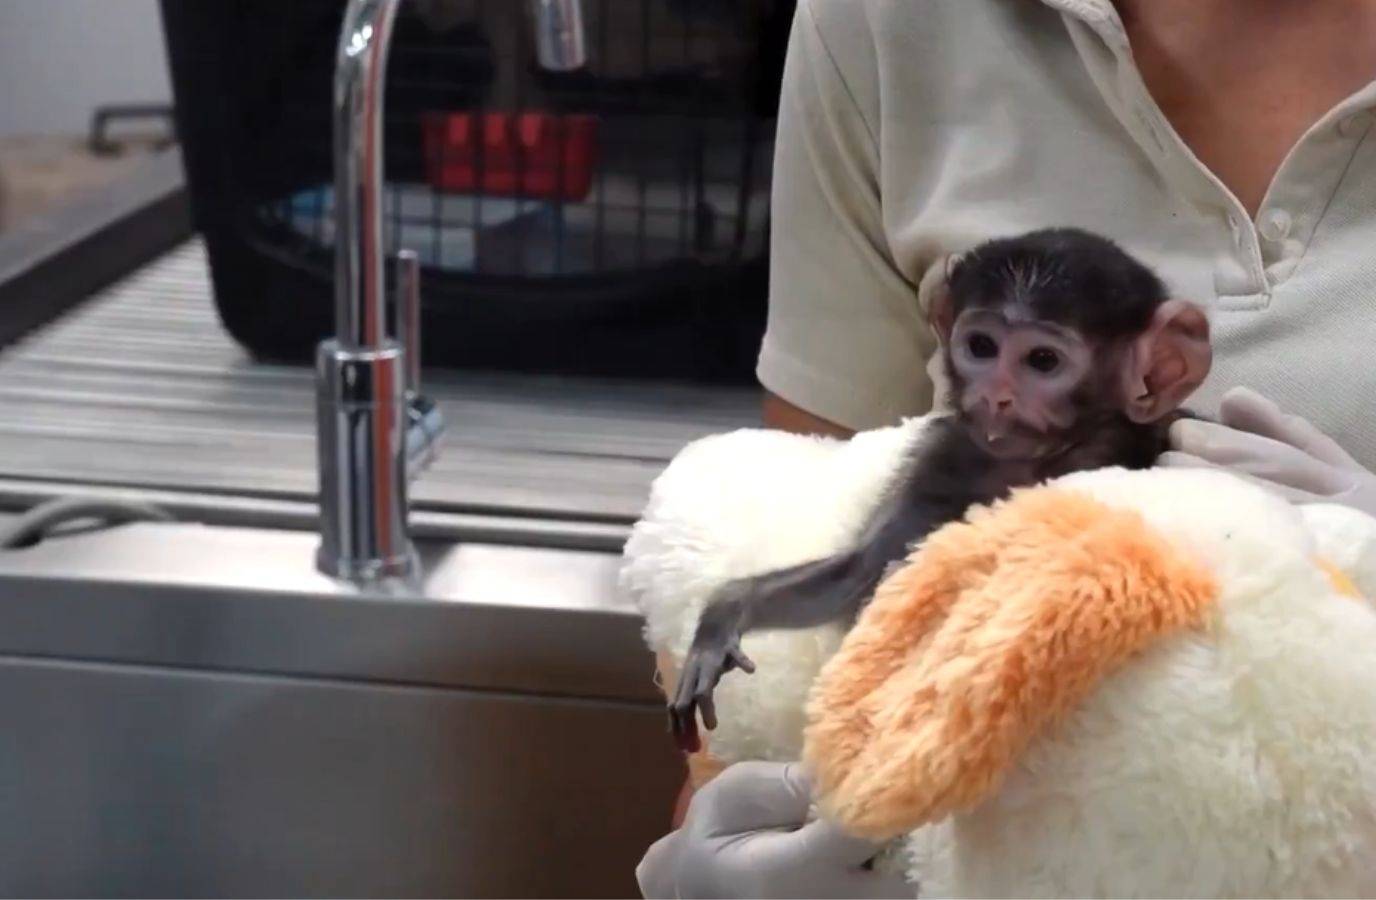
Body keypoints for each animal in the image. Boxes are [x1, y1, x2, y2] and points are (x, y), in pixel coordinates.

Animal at [668, 227, 1212, 753]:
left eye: (1042, 360)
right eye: (982, 347)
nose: (996, 396)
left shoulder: (1101, 456)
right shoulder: (943, 455)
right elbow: (857, 574)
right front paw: (720, 622)